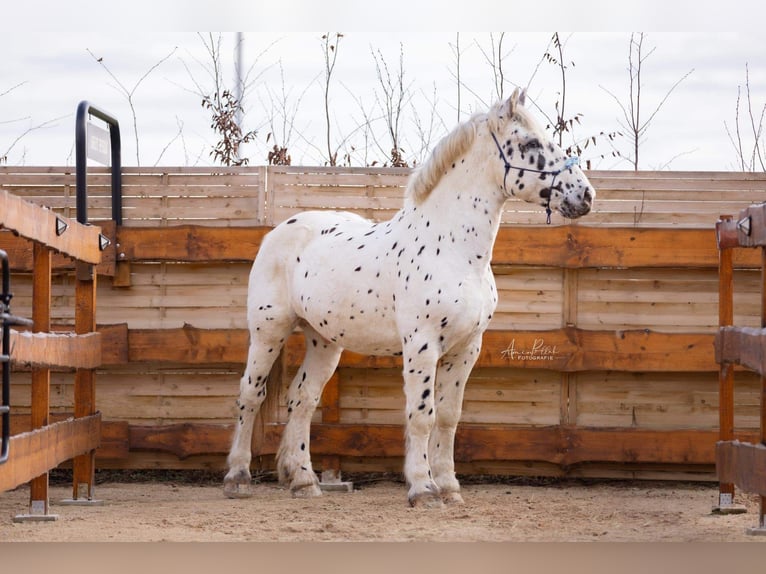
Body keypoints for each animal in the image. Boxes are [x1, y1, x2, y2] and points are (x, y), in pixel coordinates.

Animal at [225, 86, 596, 508]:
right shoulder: (422, 346)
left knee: (302, 398)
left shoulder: (466, 349)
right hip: (268, 332)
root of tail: (277, 233)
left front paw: (449, 487)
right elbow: (422, 415)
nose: (585, 195)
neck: (451, 248)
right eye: (531, 142)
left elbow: (449, 417)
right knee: (250, 394)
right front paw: (423, 488)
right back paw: (237, 477)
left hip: (324, 341)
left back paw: (304, 481)